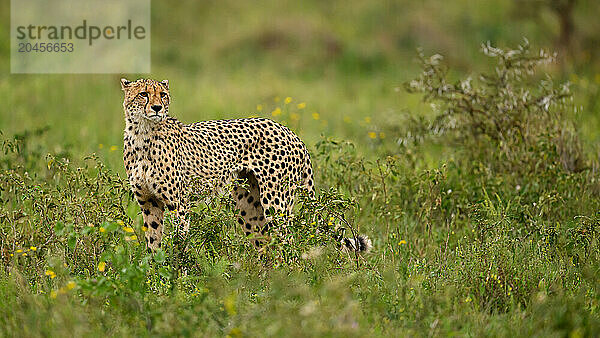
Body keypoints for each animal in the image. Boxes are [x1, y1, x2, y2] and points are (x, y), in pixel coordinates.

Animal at [120, 78, 370, 254]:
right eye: (143, 94)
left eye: (162, 95)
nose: (157, 108)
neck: (142, 135)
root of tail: (289, 131)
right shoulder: (149, 203)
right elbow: (153, 243)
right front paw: (155, 277)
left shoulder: (178, 204)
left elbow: (179, 242)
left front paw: (177, 276)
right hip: (249, 205)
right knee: (265, 245)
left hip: (276, 202)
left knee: (288, 243)